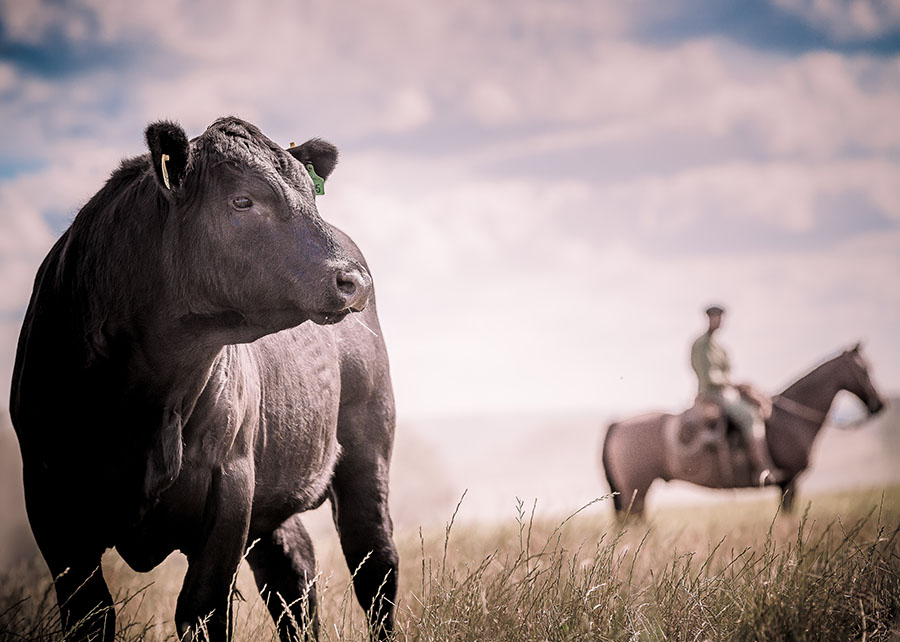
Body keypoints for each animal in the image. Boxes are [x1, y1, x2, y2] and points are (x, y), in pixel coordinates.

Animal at [10, 117, 398, 636]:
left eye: (310, 197)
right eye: (242, 200)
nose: (353, 280)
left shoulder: (230, 483)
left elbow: (202, 607)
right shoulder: (50, 497)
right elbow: (91, 613)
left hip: (366, 449)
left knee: (375, 567)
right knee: (293, 570)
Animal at [600, 342, 884, 516]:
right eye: (865, 369)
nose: (878, 405)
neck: (792, 420)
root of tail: (617, 424)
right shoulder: (790, 482)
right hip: (637, 489)